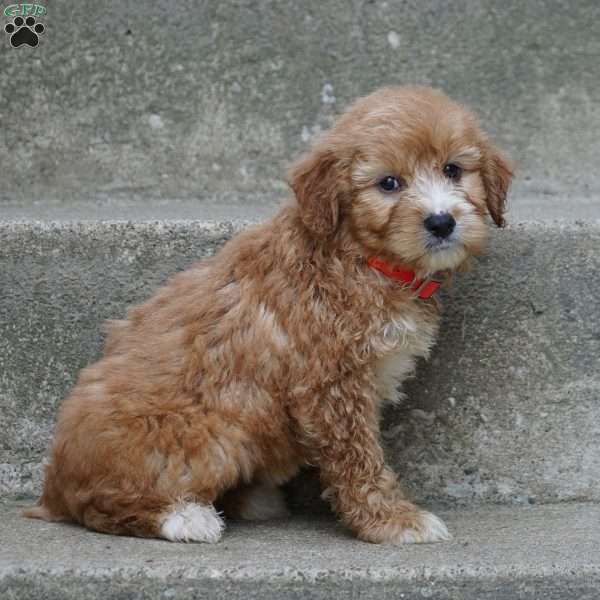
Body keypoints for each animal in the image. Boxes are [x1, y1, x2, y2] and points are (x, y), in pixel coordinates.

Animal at [23, 88, 510, 544]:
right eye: (389, 183)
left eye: (453, 170)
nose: (441, 221)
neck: (361, 258)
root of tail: (53, 487)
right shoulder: (331, 387)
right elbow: (358, 460)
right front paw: (391, 520)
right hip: (209, 436)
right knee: (97, 506)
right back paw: (184, 518)